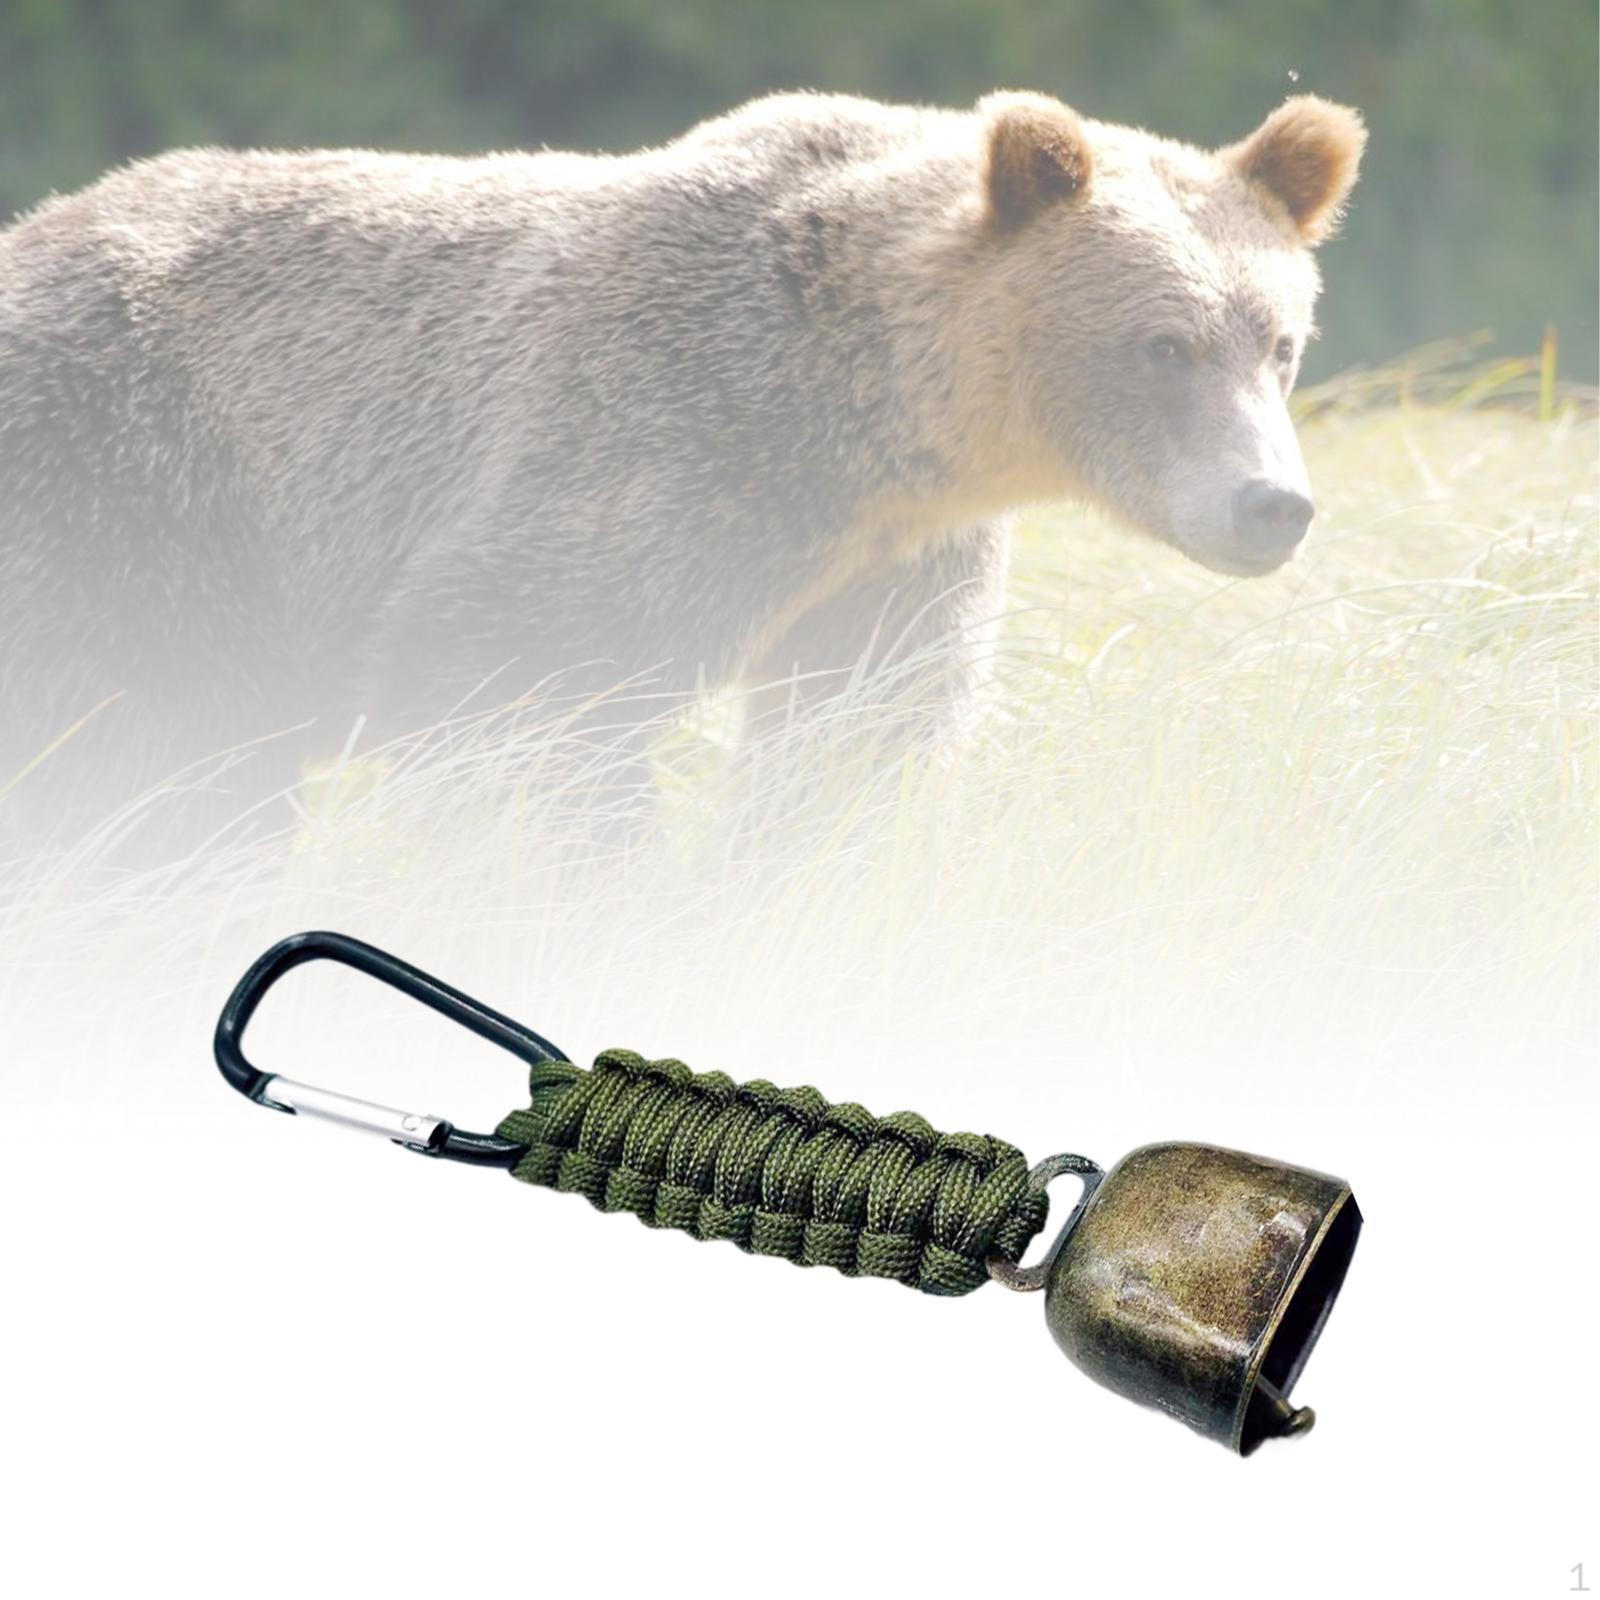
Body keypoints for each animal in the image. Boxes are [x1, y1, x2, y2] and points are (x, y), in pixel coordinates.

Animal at [0, 90, 1364, 854]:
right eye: (1162, 344)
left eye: (1279, 341)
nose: (1272, 506)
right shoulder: (653, 442)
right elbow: (514, 689)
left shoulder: (893, 561)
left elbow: (853, 743)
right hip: (136, 468)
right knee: (151, 743)